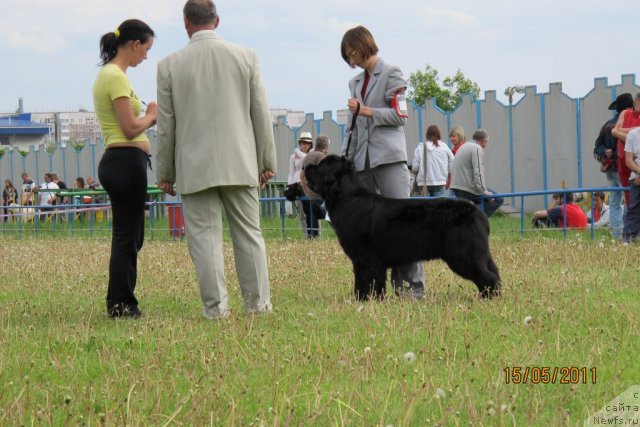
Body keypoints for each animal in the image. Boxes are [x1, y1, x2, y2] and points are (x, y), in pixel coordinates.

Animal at [302, 156, 502, 300]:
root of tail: (480, 214)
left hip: (462, 254)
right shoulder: (365, 260)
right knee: (494, 273)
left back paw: (487, 299)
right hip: (479, 253)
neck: (347, 197)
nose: (306, 167)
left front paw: (366, 301)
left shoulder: (366, 259)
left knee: (488, 278)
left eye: (320, 166)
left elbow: (367, 281)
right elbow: (365, 283)